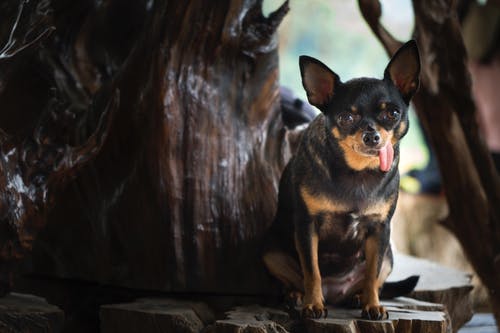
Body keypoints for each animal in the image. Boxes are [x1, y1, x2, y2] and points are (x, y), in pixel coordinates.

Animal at [264, 40, 420, 318]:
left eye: (392, 114)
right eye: (347, 118)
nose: (372, 136)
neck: (358, 171)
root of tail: (334, 294)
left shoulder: (379, 231)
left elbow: (372, 274)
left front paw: (373, 305)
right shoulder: (307, 226)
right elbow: (312, 271)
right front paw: (313, 305)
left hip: (389, 255)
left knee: (374, 277)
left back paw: (358, 298)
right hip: (270, 252)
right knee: (297, 279)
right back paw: (296, 296)